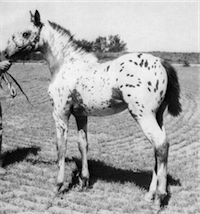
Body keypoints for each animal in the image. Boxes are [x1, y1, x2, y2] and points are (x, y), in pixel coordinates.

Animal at [4, 10, 181, 207]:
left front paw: (58, 186)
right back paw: (150, 194)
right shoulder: (81, 115)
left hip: (143, 115)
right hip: (158, 116)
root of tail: (161, 62)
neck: (66, 64)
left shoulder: (60, 114)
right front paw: (84, 182)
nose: (6, 53)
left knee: (161, 145)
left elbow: (61, 147)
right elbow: (83, 144)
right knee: (158, 148)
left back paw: (159, 198)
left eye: (26, 33)